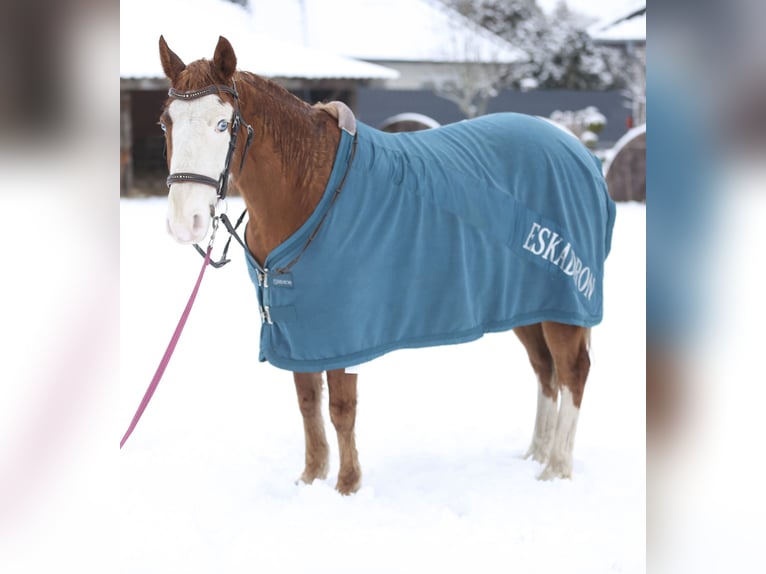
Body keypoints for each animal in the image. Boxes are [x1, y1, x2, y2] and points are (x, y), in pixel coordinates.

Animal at [157, 36, 616, 495]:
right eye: (166, 123)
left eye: (223, 124)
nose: (184, 222)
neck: (310, 186)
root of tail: (581, 154)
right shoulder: (298, 332)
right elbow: (308, 404)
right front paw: (311, 478)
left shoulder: (343, 334)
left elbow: (341, 409)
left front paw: (347, 485)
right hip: (529, 305)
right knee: (545, 371)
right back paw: (537, 452)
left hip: (564, 307)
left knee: (572, 372)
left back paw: (556, 466)